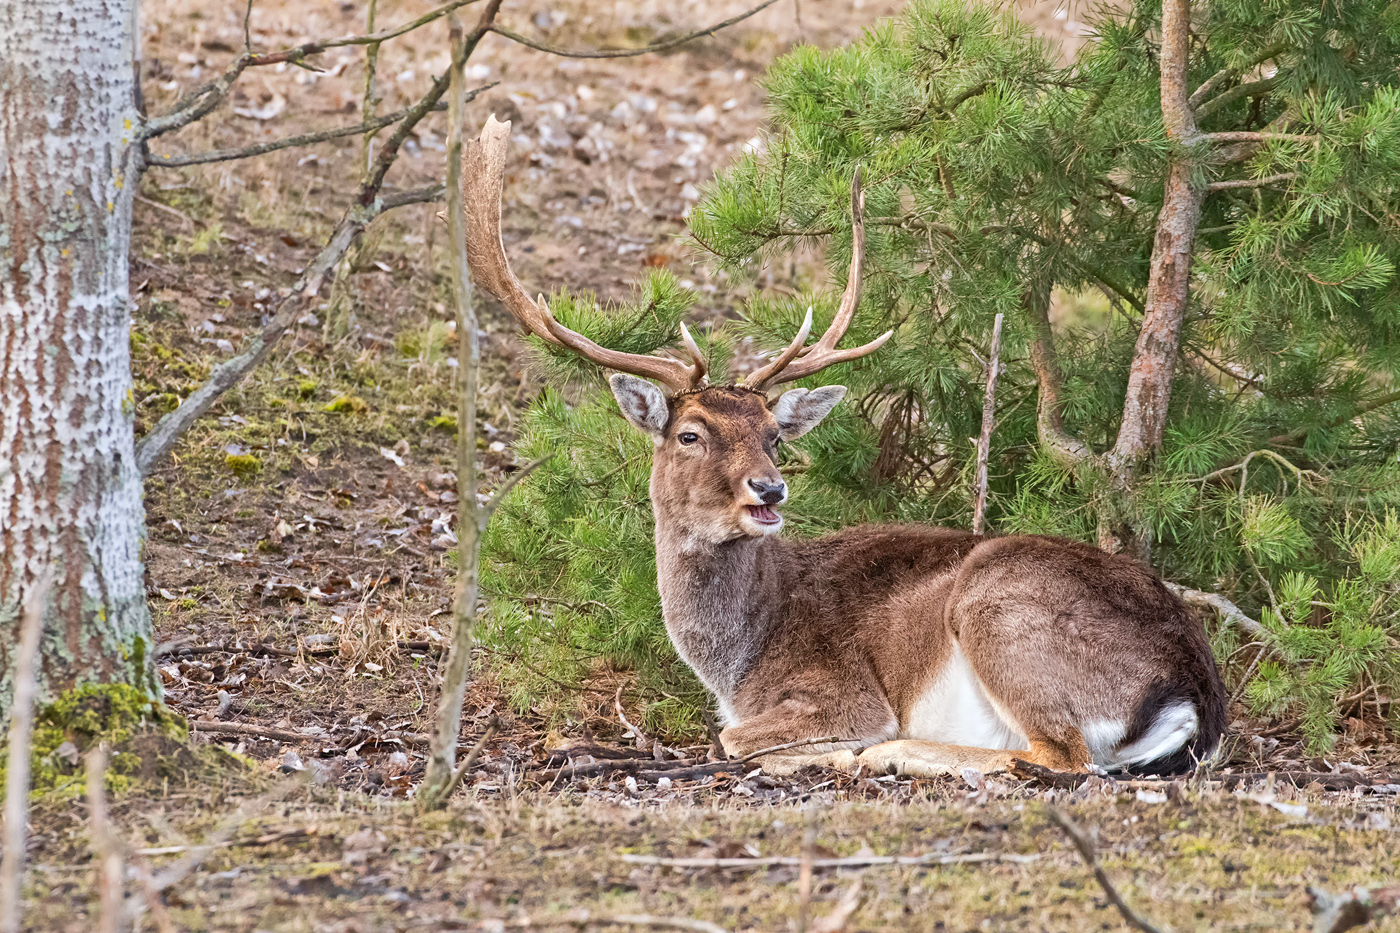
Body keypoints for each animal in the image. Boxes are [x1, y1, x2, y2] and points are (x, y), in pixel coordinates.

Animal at [462, 114, 1226, 767]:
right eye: (689, 434)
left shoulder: (841, 690)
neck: (737, 658)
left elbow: (730, 736)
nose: (769, 488)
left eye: (774, 435)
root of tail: (1195, 696)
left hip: (1000, 611)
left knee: (1055, 756)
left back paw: (879, 754)